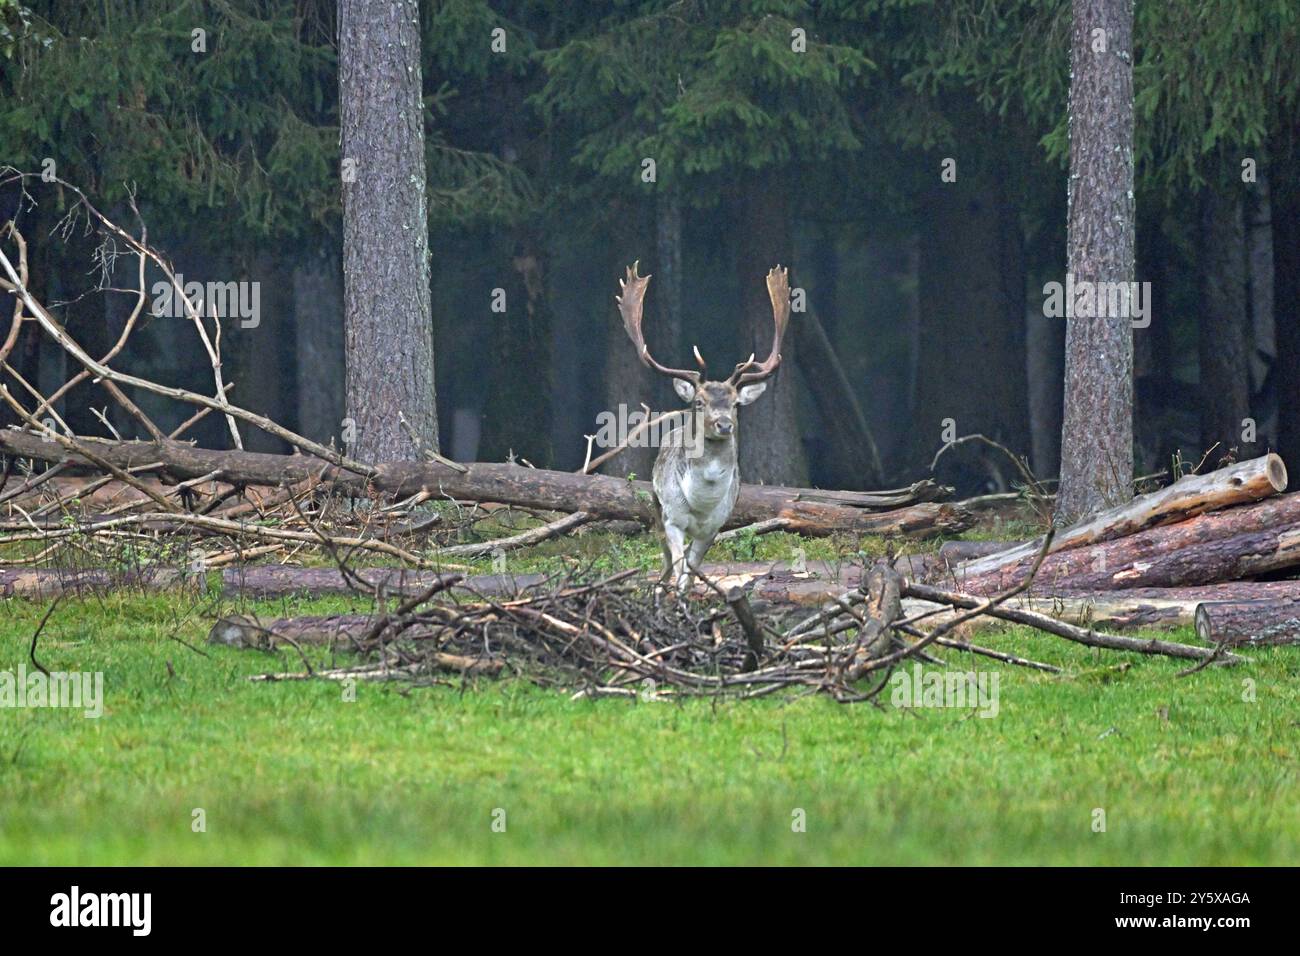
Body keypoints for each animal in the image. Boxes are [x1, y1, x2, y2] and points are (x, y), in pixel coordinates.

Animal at [615, 261, 790, 593]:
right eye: (699, 401)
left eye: (735, 403)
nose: (723, 424)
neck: (702, 504)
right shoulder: (672, 518)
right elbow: (679, 565)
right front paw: (672, 594)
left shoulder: (714, 527)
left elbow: (692, 570)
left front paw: (686, 593)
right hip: (657, 507)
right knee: (666, 558)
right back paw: (659, 586)